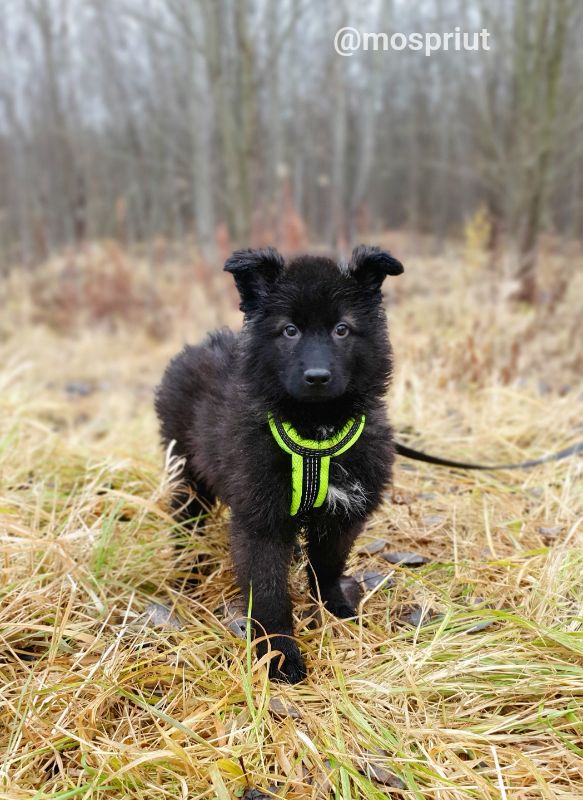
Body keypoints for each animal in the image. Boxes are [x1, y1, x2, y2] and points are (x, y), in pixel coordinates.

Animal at [156, 244, 406, 680]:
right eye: (289, 331)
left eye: (342, 329)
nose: (317, 377)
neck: (315, 433)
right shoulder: (261, 522)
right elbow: (269, 595)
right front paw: (280, 656)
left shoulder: (343, 515)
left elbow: (327, 567)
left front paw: (337, 609)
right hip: (187, 468)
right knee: (184, 514)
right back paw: (188, 567)